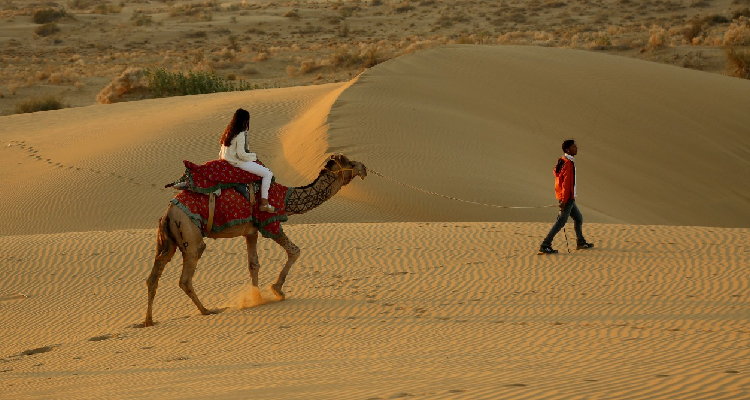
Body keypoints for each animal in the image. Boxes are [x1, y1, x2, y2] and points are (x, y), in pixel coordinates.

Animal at [144, 154, 367, 327]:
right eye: (348, 161)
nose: (363, 167)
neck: (287, 197)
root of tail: (168, 213)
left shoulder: (250, 231)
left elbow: (253, 264)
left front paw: (257, 298)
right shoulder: (269, 223)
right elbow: (295, 250)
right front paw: (277, 290)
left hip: (167, 240)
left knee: (155, 273)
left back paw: (148, 320)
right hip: (189, 233)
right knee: (186, 275)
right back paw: (206, 310)